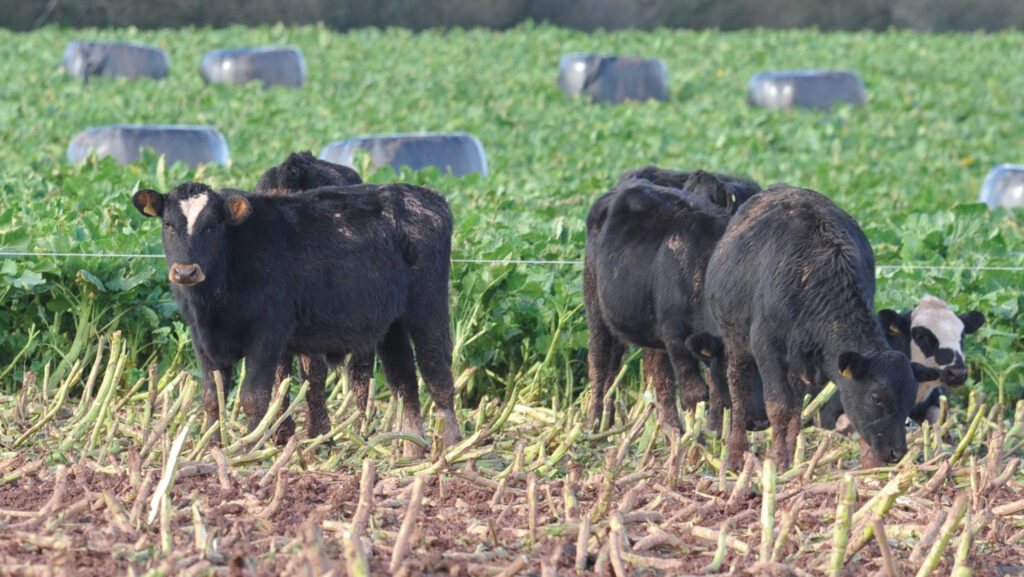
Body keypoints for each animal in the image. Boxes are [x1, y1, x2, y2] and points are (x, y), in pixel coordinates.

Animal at [132, 180, 460, 457]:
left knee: (437, 373)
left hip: (428, 307)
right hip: (392, 324)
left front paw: (248, 450)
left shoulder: (267, 334)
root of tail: (426, 195)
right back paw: (412, 449)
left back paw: (452, 447)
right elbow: (213, 397)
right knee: (405, 382)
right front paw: (211, 447)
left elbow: (253, 397)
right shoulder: (203, 340)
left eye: (212, 226)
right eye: (168, 224)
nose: (186, 272)